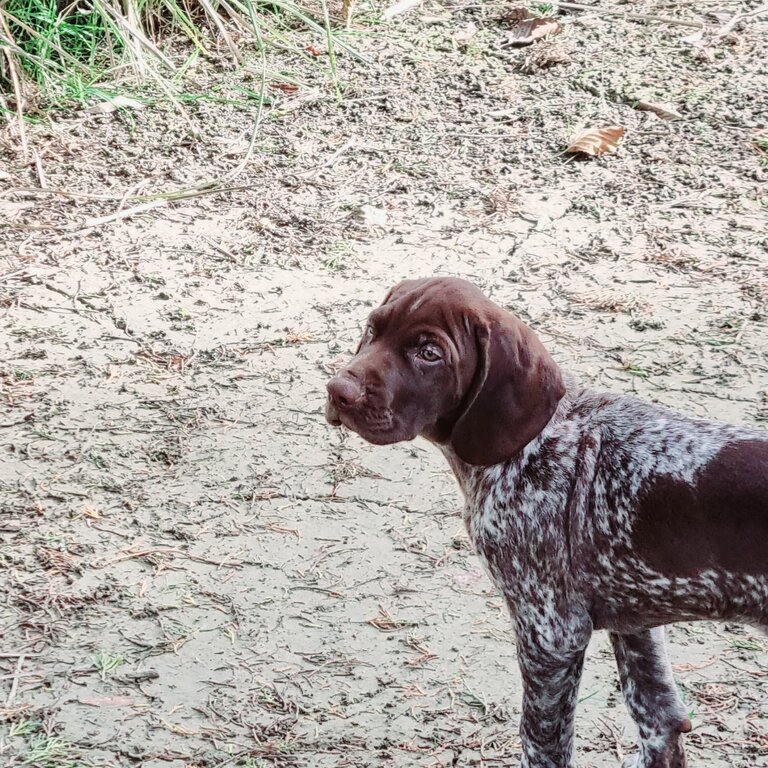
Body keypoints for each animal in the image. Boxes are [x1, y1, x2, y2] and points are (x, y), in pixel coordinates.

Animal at [326, 276, 768, 768]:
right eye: (372, 329)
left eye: (429, 353)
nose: (337, 391)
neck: (534, 443)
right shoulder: (634, 624)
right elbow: (660, 722)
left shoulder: (551, 634)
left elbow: (541, 743)